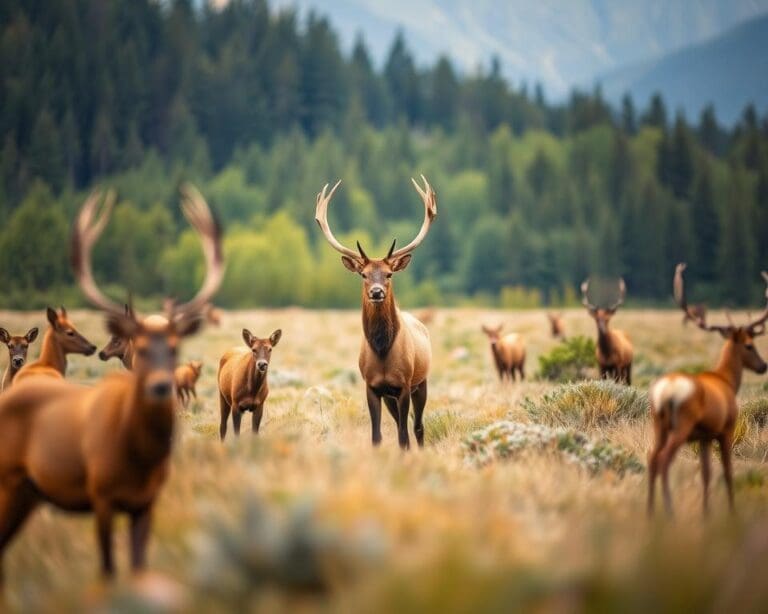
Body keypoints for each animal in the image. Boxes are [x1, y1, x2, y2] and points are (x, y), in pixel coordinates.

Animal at [316, 176, 436, 450]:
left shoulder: (403, 385)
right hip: (391, 395)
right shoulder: (372, 386)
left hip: (421, 382)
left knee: (417, 426)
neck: (382, 350)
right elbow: (377, 436)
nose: (377, 292)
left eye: (389, 274)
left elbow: (403, 435)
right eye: (364, 274)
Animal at [648, 264, 768, 520]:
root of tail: (666, 391)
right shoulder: (726, 428)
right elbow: (728, 471)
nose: (763, 366)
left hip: (658, 424)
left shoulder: (703, 436)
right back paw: (669, 512)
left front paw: (707, 512)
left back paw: (651, 512)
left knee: (652, 459)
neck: (727, 381)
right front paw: (731, 512)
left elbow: (706, 473)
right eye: (749, 345)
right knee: (663, 460)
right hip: (682, 424)